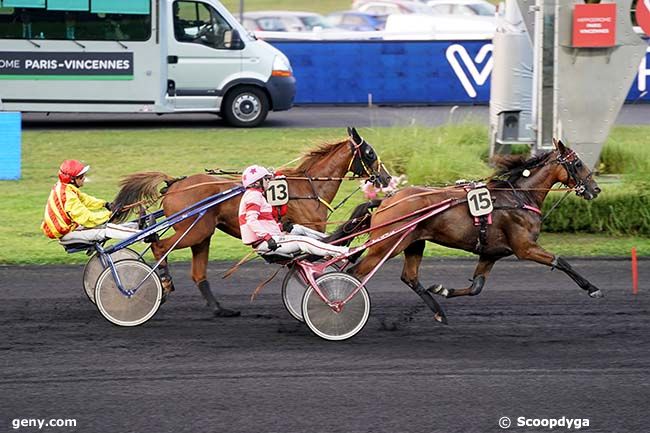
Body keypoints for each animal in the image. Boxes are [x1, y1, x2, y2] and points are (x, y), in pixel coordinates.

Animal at [110, 126, 390, 316]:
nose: (386, 178)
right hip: (193, 230)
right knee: (159, 246)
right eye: (369, 152)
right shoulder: (309, 230)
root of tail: (175, 183)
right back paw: (163, 283)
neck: (307, 187)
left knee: (198, 272)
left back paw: (219, 308)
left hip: (203, 234)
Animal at [346, 138, 600, 324]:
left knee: (409, 277)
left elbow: (476, 287)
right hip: (387, 245)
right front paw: (592, 288)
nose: (595, 189)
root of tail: (387, 200)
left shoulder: (491, 253)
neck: (518, 197)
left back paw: (439, 312)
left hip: (414, 242)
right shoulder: (525, 247)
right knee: (354, 273)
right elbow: (560, 261)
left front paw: (443, 290)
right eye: (578, 163)